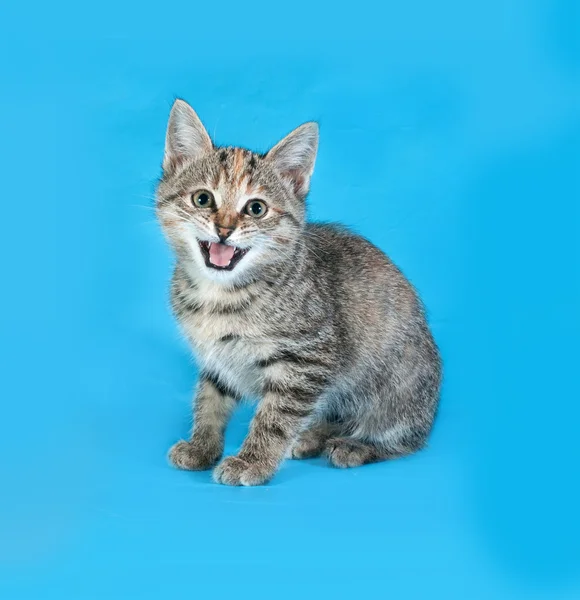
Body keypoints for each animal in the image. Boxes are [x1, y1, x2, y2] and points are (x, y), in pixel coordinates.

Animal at [156, 97, 442, 482]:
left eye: (256, 208)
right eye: (203, 199)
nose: (224, 229)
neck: (221, 294)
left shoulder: (309, 359)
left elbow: (275, 417)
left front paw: (253, 461)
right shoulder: (216, 359)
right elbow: (209, 399)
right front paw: (202, 446)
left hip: (399, 385)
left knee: (405, 439)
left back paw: (356, 446)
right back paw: (313, 436)